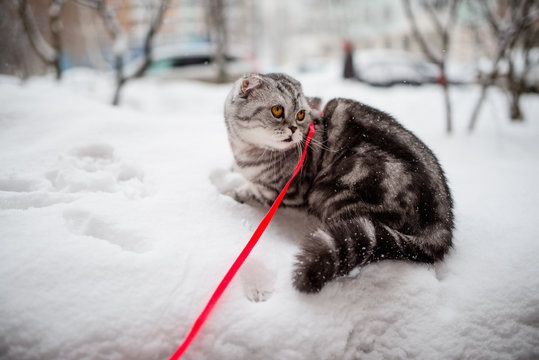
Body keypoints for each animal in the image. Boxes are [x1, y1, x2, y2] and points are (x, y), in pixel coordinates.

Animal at [221, 72, 454, 292]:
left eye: (300, 115)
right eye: (277, 110)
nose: (294, 129)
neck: (246, 151)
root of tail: (441, 223)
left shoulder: (283, 192)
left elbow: (244, 192)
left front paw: (225, 191)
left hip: (341, 195)